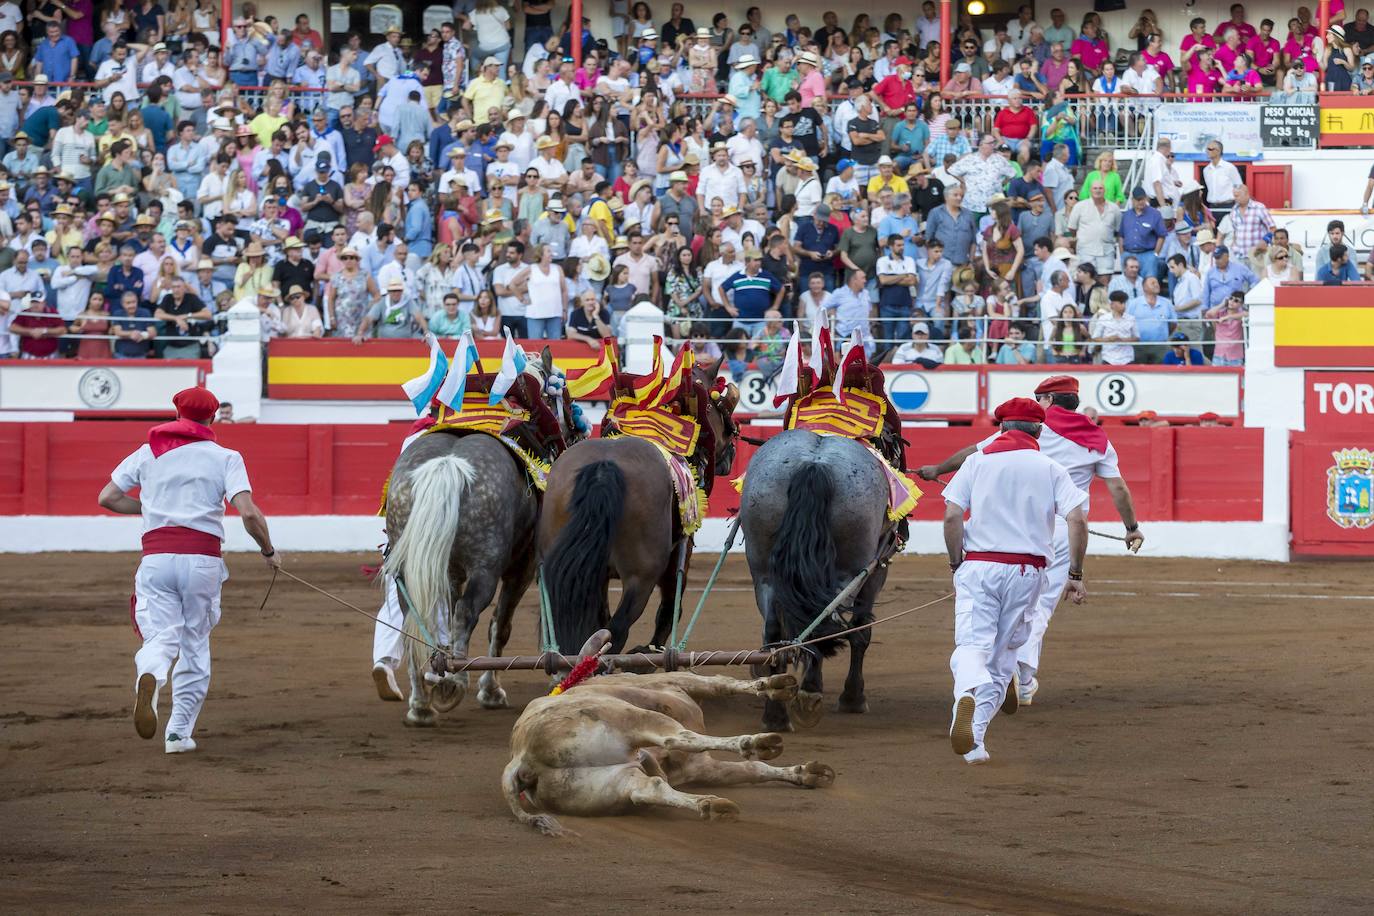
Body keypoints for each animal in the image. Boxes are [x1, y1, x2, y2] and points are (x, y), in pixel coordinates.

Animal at [384, 362, 577, 725]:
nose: (575, 434)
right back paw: (454, 681)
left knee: (414, 621)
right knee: (468, 613)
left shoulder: (450, 572)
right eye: (564, 398)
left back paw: (421, 703)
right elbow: (500, 625)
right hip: (486, 569)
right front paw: (490, 691)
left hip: (409, 568)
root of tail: (447, 465)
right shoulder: (522, 567)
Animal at [741, 428, 890, 730]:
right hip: (850, 571)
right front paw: (853, 697)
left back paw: (775, 714)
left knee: (774, 631)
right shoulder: (875, 572)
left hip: (764, 572)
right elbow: (861, 631)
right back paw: (810, 694)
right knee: (825, 622)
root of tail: (814, 465)